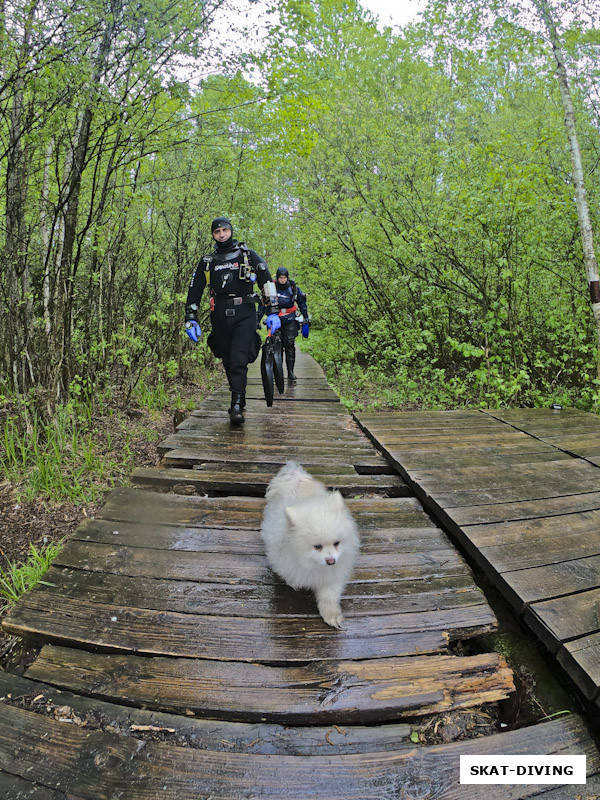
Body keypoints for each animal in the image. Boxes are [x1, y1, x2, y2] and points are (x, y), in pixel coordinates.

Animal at [260, 460, 358, 628]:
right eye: (317, 546)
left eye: (336, 543)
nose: (331, 561)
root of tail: (295, 475)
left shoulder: (333, 574)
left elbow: (329, 595)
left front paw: (332, 615)